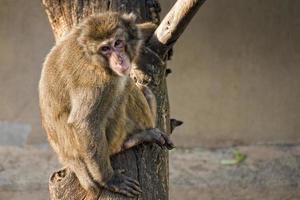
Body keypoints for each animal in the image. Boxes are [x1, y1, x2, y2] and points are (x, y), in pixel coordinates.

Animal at [38, 12, 175, 198]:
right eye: (105, 49)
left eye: (117, 43)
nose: (119, 60)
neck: (94, 59)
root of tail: (67, 156)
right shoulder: (98, 80)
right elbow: (84, 122)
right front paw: (109, 179)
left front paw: (148, 28)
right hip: (110, 140)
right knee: (124, 88)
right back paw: (137, 137)